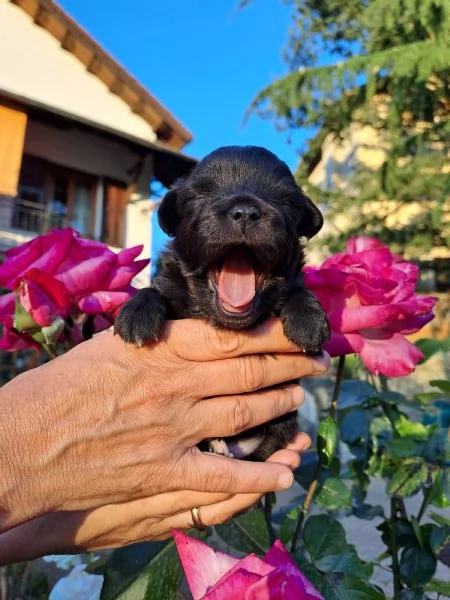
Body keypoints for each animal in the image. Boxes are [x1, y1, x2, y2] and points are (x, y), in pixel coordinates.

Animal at [114, 144, 328, 460]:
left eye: (285, 200)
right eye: (200, 194)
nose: (245, 212)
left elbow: (300, 290)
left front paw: (309, 321)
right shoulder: (172, 283)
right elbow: (158, 289)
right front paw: (136, 314)